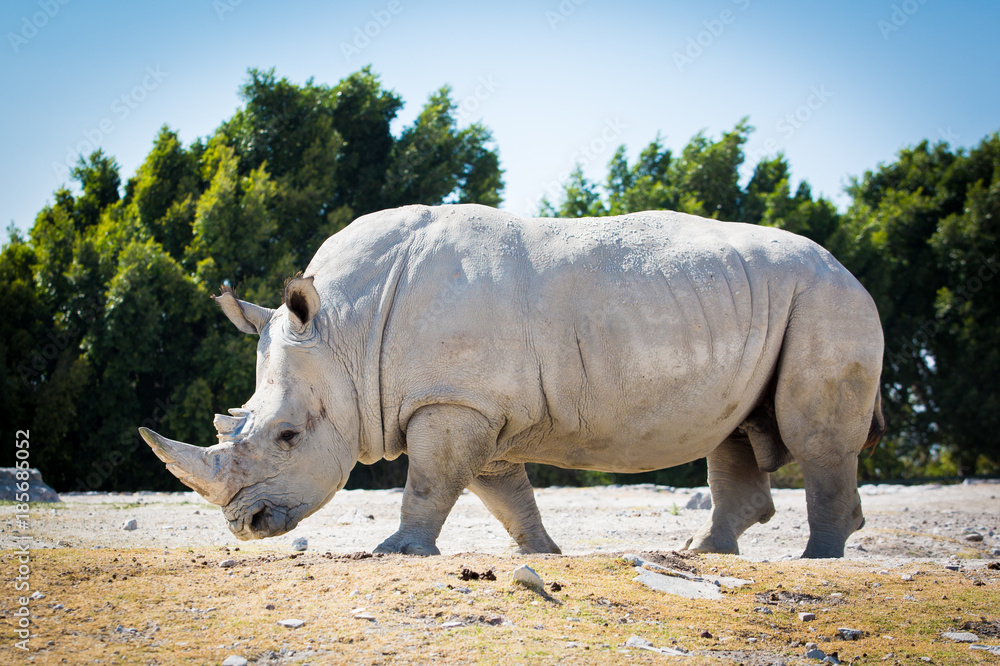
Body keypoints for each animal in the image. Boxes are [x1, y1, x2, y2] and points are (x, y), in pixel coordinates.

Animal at [139, 203, 885, 558]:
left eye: (289, 436)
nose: (246, 526)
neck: (345, 330)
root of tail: (850, 271)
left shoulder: (453, 400)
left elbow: (431, 481)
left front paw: (395, 551)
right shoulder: (475, 402)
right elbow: (500, 490)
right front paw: (544, 552)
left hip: (826, 303)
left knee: (813, 439)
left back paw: (815, 558)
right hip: (772, 302)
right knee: (733, 430)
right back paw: (705, 551)